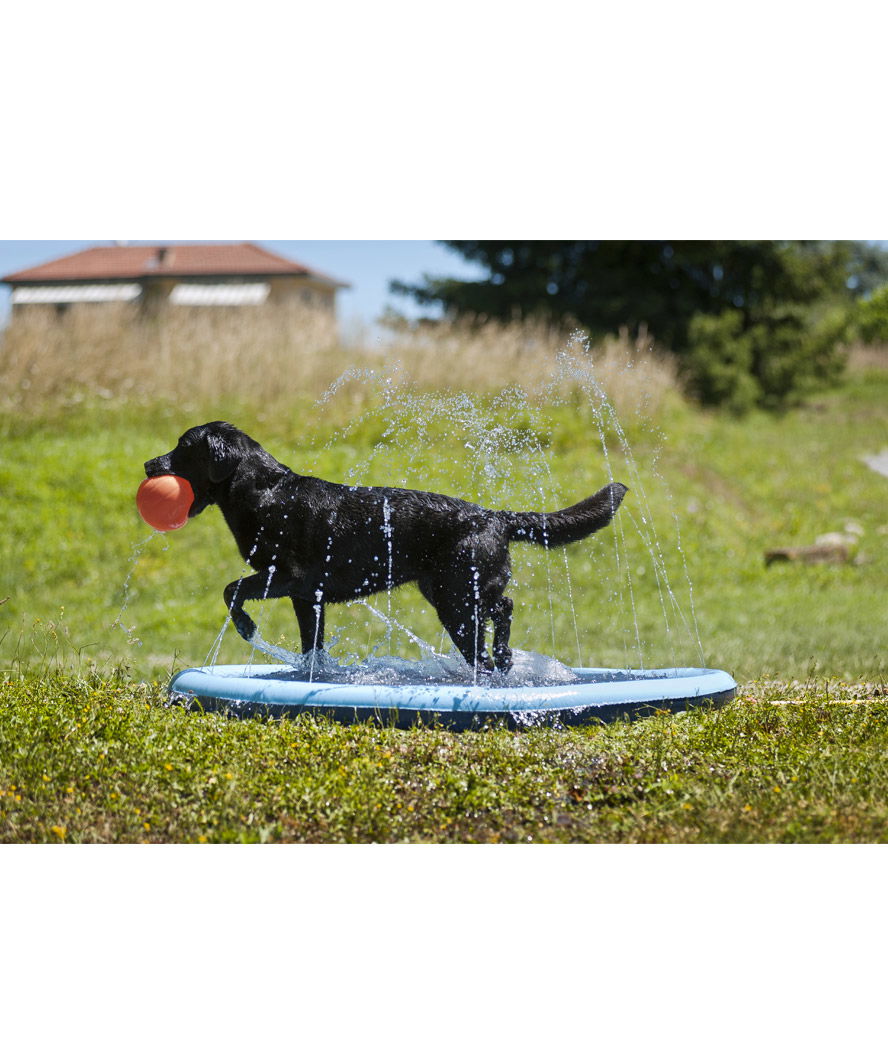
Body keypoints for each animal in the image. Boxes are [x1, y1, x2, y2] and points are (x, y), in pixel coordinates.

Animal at [144, 423, 623, 669]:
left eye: (183, 447)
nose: (149, 464)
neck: (265, 491)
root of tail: (494, 516)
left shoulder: (288, 576)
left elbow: (231, 589)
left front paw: (245, 627)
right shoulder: (307, 596)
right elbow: (311, 643)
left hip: (455, 599)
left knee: (494, 621)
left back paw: (497, 662)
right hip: (450, 591)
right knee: (501, 610)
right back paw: (504, 658)